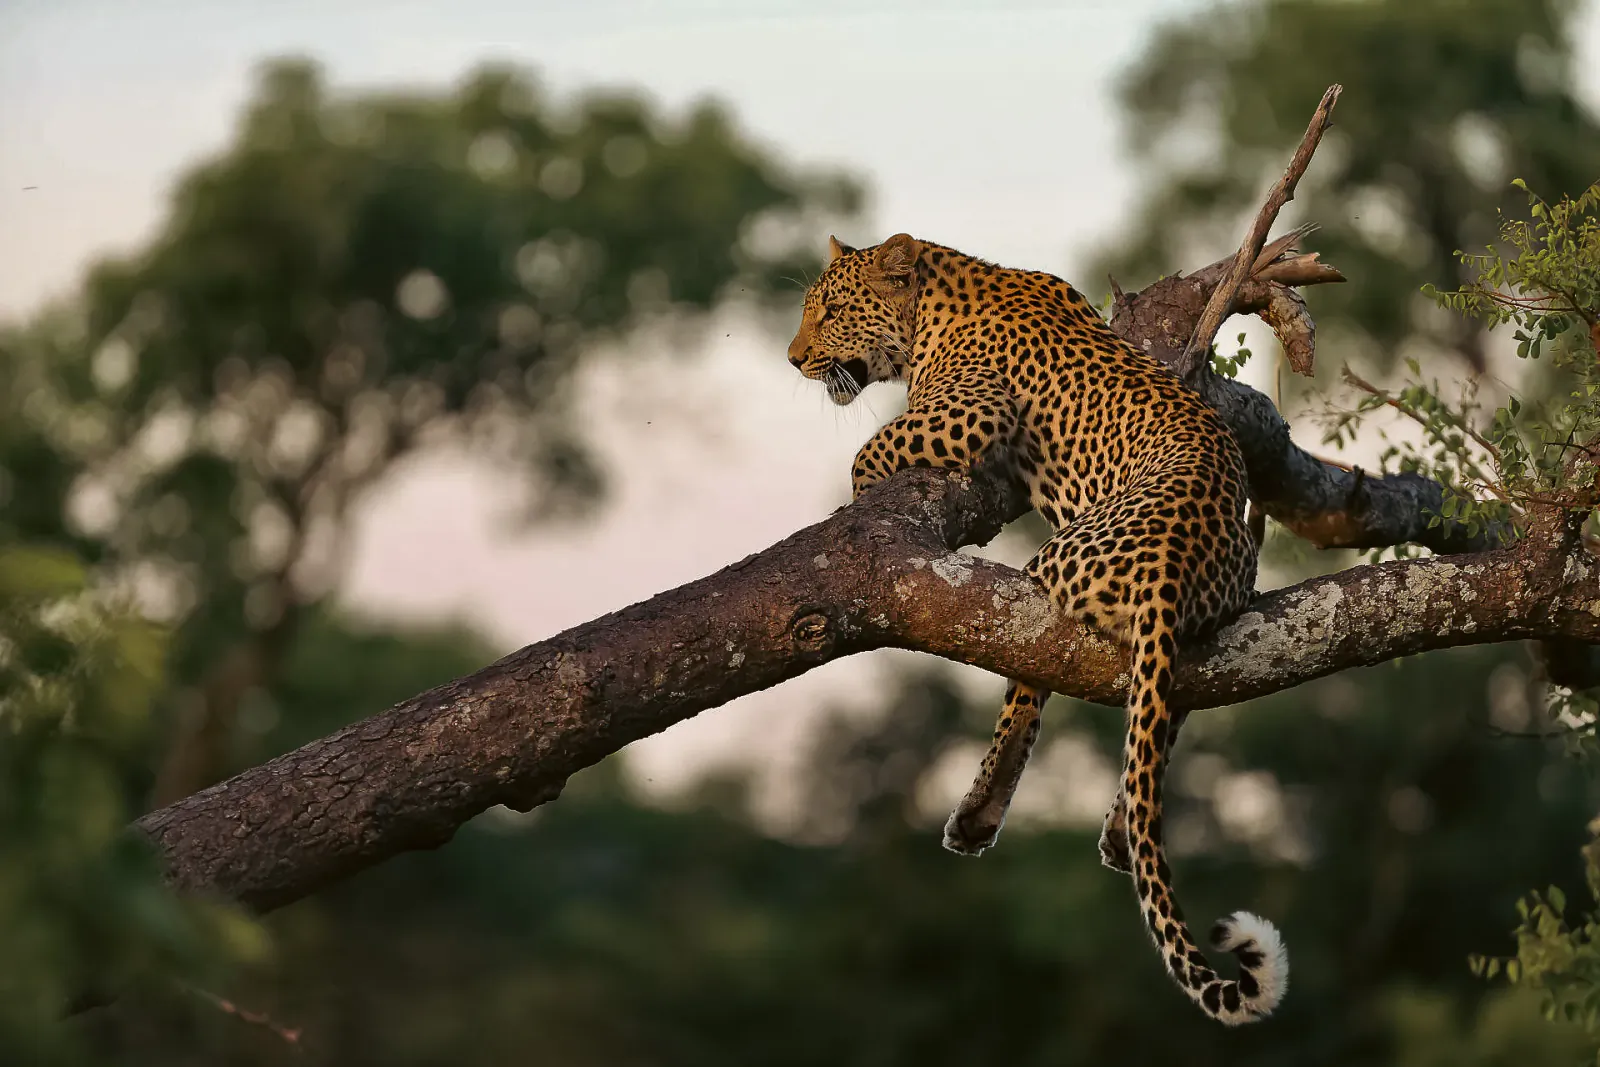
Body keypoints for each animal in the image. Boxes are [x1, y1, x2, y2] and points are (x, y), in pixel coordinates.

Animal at [786, 232, 1288, 1025]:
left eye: (830, 310)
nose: (792, 357)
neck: (937, 294)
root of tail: (1173, 567)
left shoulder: (973, 404)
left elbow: (868, 452)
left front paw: (861, 490)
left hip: (1047, 570)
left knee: (1029, 683)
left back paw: (979, 812)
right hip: (1214, 619)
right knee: (1163, 716)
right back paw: (1118, 827)